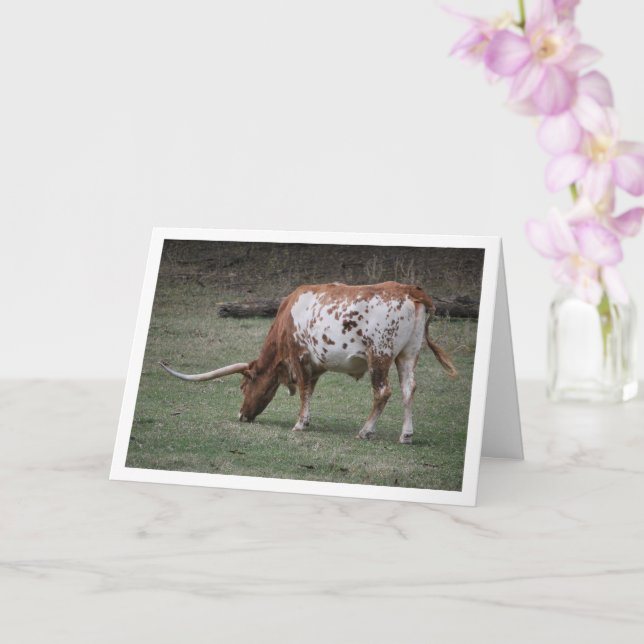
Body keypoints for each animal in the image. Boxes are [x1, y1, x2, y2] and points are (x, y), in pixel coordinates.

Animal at [160, 281, 456, 444]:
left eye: (243, 387)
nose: (241, 415)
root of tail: (409, 289)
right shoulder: (316, 364)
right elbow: (310, 390)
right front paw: (307, 420)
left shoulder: (299, 356)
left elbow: (303, 390)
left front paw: (300, 424)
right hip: (408, 354)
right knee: (408, 390)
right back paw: (406, 435)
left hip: (380, 354)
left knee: (383, 392)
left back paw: (365, 431)